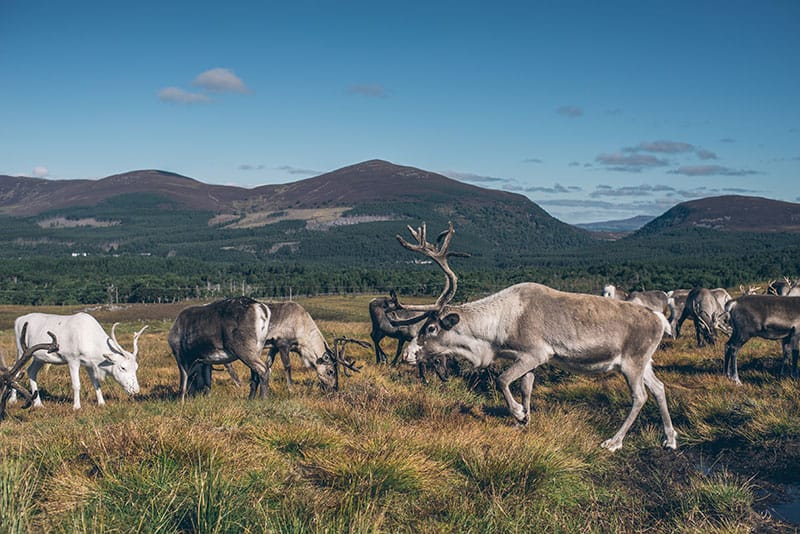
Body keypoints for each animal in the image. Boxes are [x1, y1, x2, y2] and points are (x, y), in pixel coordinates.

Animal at [393, 222, 677, 452]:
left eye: (431, 328)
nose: (407, 354)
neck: (496, 327)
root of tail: (659, 319)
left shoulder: (537, 353)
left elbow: (502, 380)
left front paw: (519, 414)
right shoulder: (526, 358)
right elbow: (524, 387)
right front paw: (524, 421)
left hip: (632, 363)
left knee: (640, 396)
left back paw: (614, 442)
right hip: (644, 362)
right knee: (659, 388)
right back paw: (670, 439)